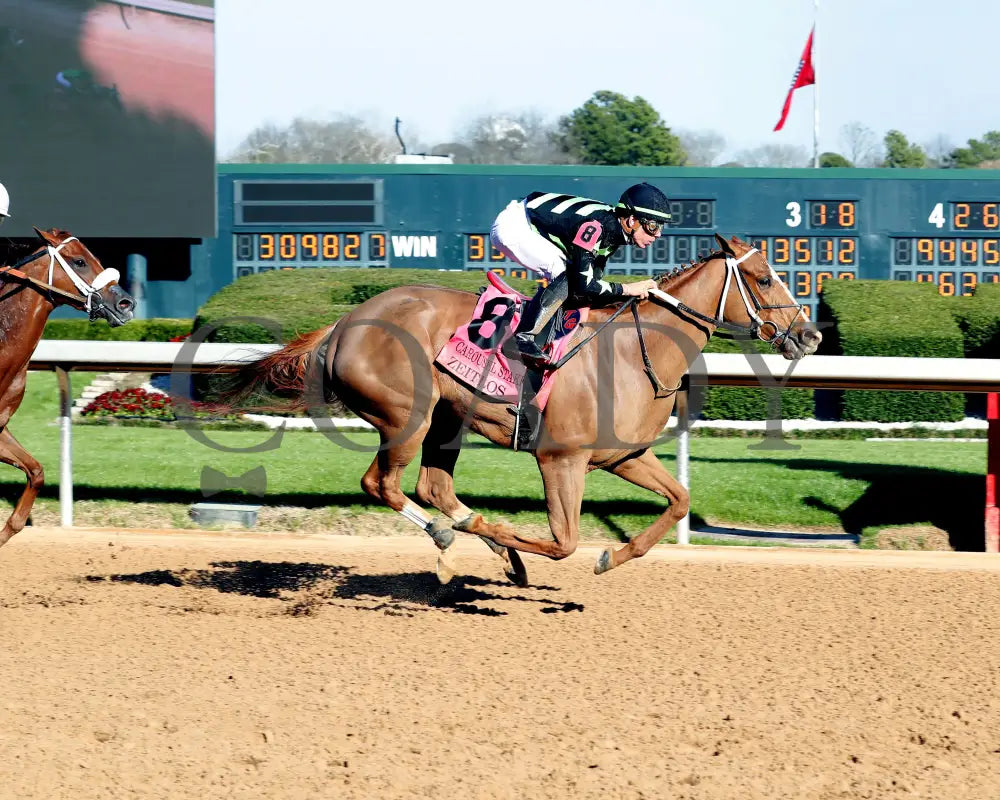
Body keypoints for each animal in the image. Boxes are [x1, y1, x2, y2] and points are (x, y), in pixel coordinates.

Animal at [225, 234, 820, 584]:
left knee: (432, 486)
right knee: (384, 485)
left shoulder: (624, 455)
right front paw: (505, 541)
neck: (635, 351)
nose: (809, 335)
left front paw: (611, 556)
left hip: (447, 418)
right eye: (764, 278)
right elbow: (563, 543)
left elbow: (679, 500)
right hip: (407, 415)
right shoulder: (561, 458)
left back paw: (476, 540)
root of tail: (344, 322)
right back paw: (453, 536)